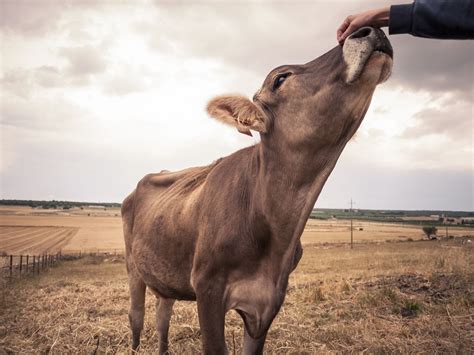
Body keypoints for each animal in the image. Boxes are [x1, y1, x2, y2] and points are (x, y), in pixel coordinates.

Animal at [121, 26, 392, 354]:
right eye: (280, 78)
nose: (370, 29)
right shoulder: (207, 289)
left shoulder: (268, 300)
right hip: (133, 266)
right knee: (136, 316)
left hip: (165, 272)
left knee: (163, 315)